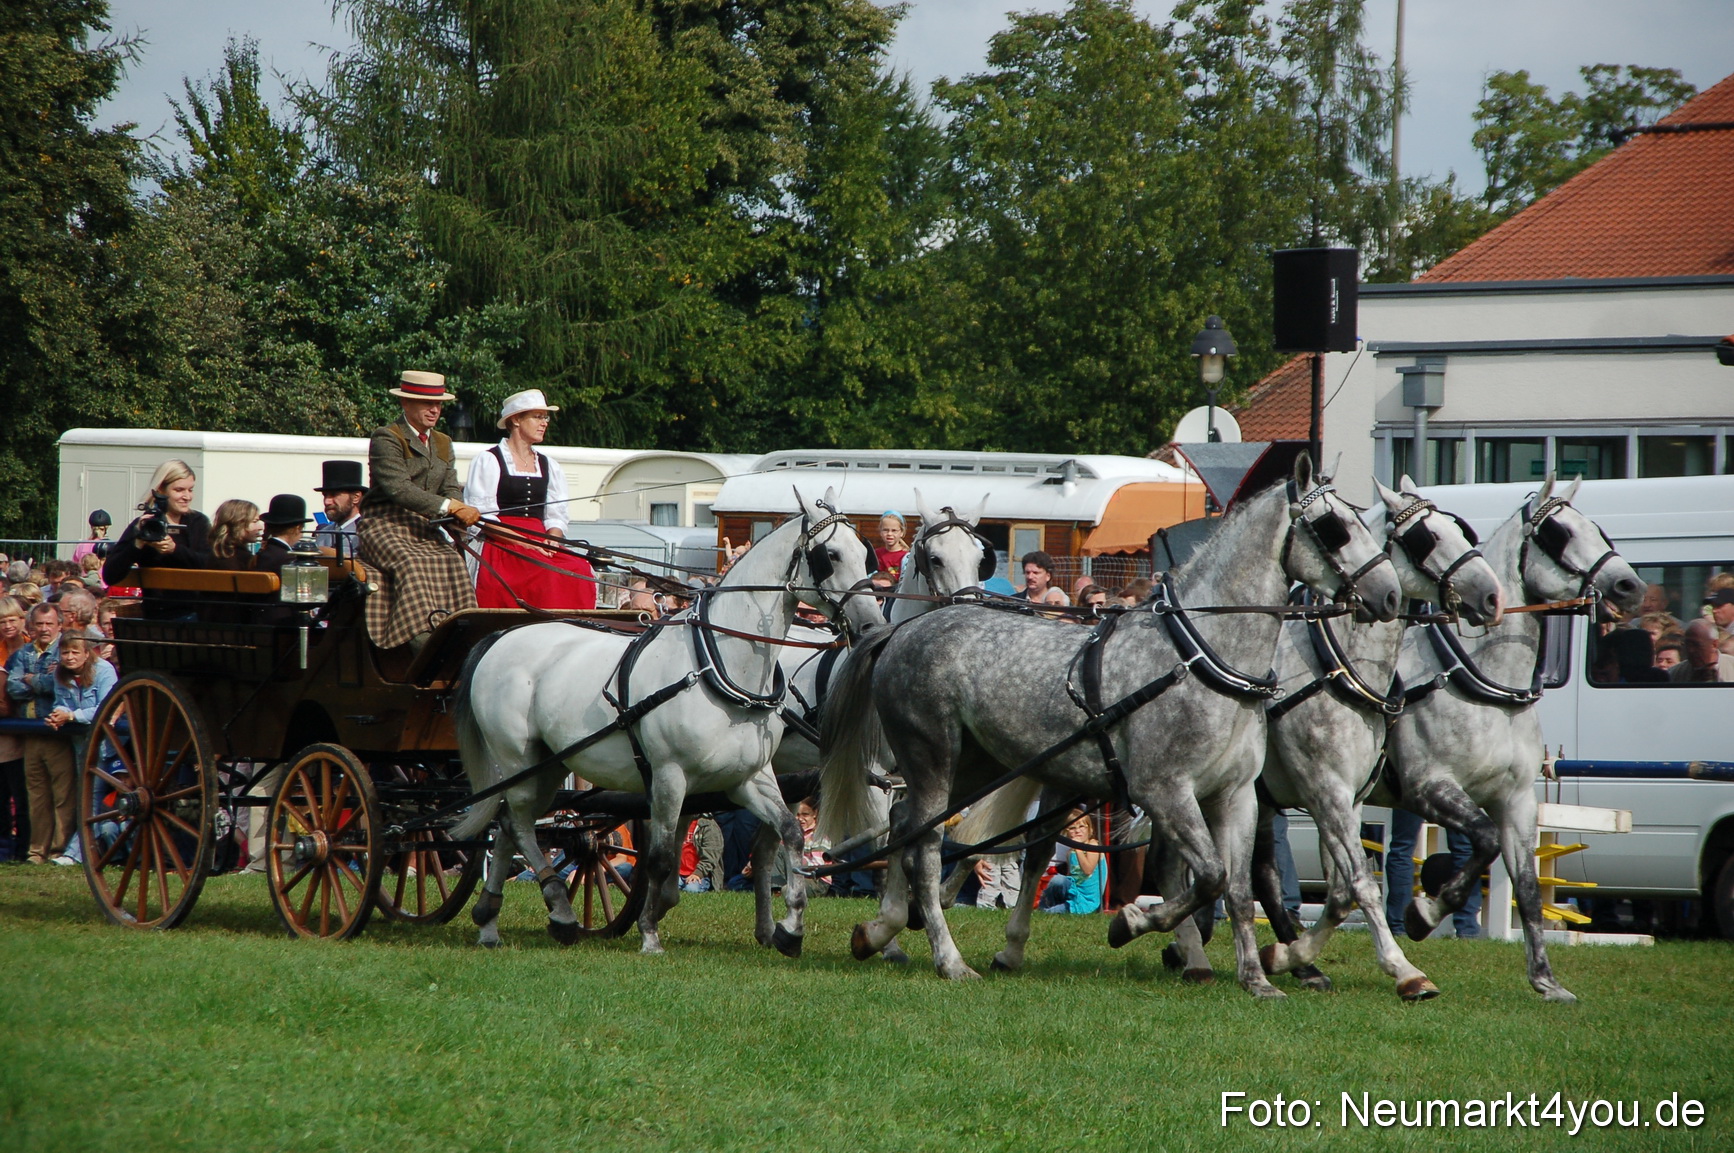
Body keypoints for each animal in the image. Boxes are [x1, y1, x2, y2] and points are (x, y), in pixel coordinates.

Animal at [449, 487, 884, 955]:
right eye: (830, 555)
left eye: (866, 554)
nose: (870, 624)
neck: (718, 666)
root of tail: (500, 636)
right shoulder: (670, 776)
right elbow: (659, 859)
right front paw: (649, 931)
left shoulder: (748, 778)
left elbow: (791, 834)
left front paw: (790, 926)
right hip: (519, 761)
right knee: (517, 823)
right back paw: (556, 911)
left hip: (548, 766)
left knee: (511, 825)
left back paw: (491, 921)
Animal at [820, 455, 1403, 995]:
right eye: (1335, 527)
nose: (1391, 595)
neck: (1200, 656)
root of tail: (904, 632)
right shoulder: (1165, 791)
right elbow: (1208, 877)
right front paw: (1132, 922)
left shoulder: (1237, 796)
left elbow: (1236, 888)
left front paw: (1258, 978)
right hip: (932, 758)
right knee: (924, 849)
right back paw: (949, 959)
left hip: (975, 767)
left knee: (906, 828)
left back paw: (880, 932)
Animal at [1190, 476, 1503, 1000]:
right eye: (1427, 537)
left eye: (1460, 529)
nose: (1493, 597)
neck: (1340, 669)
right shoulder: (1327, 791)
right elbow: (1362, 883)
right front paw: (1405, 969)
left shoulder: (1349, 798)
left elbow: (1339, 892)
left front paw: (1290, 955)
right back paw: (1186, 951)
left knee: (1259, 874)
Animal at [1370, 474, 1643, 1001]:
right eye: (1558, 533)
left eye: (1596, 528)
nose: (1630, 586)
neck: (1481, 686)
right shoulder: (1428, 788)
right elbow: (1482, 842)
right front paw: (1424, 912)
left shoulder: (1515, 800)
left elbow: (1528, 888)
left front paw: (1546, 981)